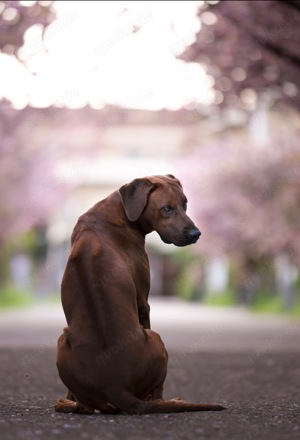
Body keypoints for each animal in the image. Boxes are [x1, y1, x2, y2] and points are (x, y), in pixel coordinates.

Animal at [55, 174, 225, 414]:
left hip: (62, 340)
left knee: (84, 406)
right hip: (157, 339)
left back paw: (65, 402)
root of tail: (113, 385)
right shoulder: (143, 302)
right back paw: (174, 401)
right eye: (167, 208)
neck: (119, 211)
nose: (196, 234)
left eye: (185, 204)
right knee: (157, 397)